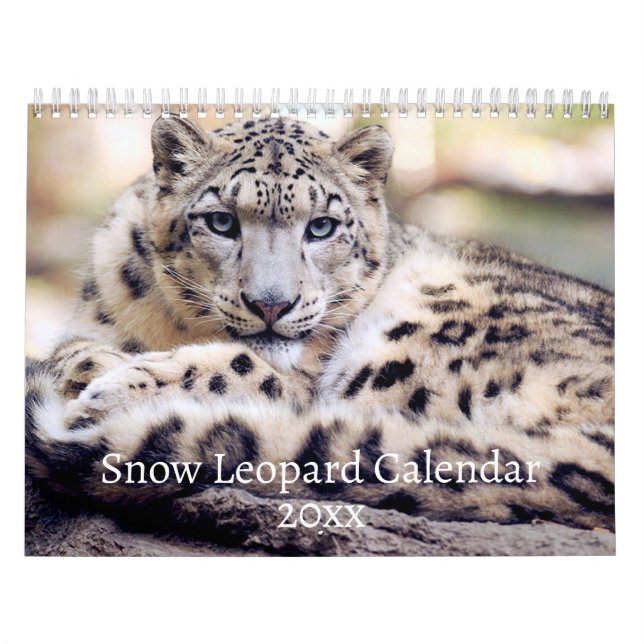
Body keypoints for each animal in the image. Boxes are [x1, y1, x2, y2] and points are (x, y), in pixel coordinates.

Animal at [25, 115, 615, 532]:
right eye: (221, 221)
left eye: (322, 226)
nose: (271, 304)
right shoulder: (91, 316)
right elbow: (73, 349)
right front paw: (93, 370)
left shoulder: (304, 382)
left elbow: (245, 370)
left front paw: (112, 390)